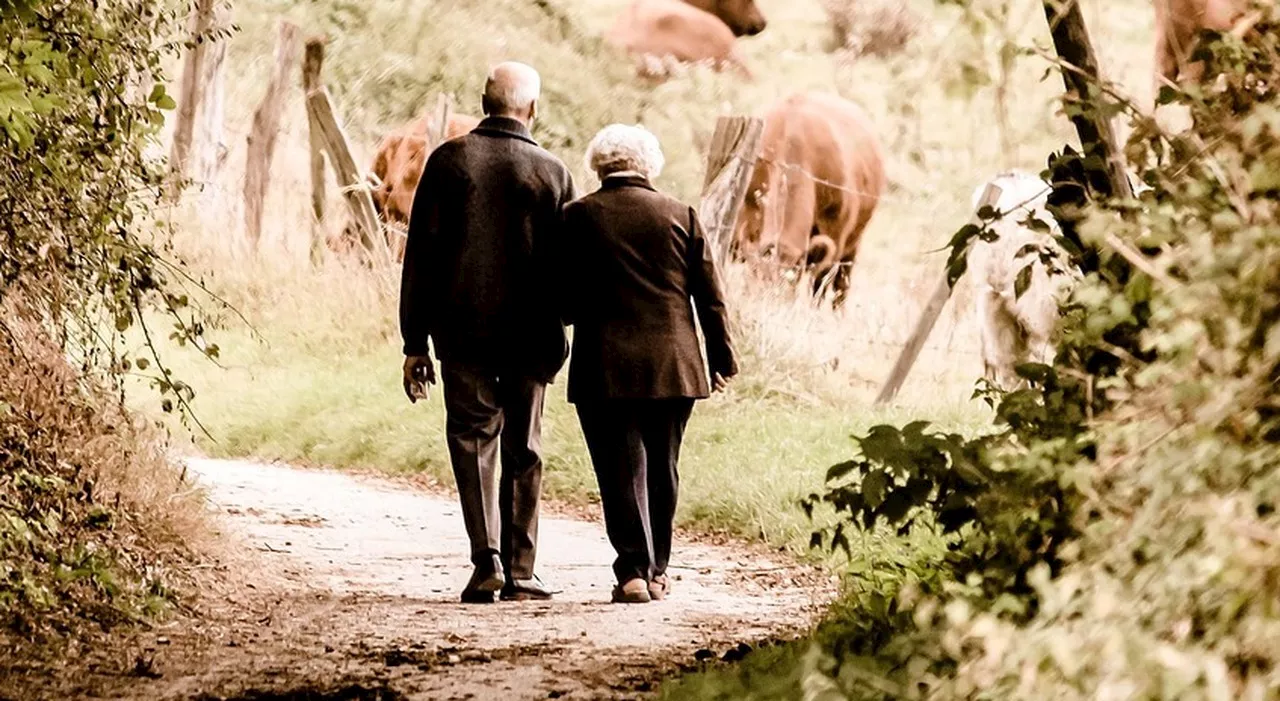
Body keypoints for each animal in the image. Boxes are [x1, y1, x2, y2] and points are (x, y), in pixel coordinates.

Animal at [737, 90, 885, 307]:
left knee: (840, 289)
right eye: (759, 280)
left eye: (789, 284)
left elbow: (819, 287)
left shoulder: (835, 237)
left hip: (852, 246)